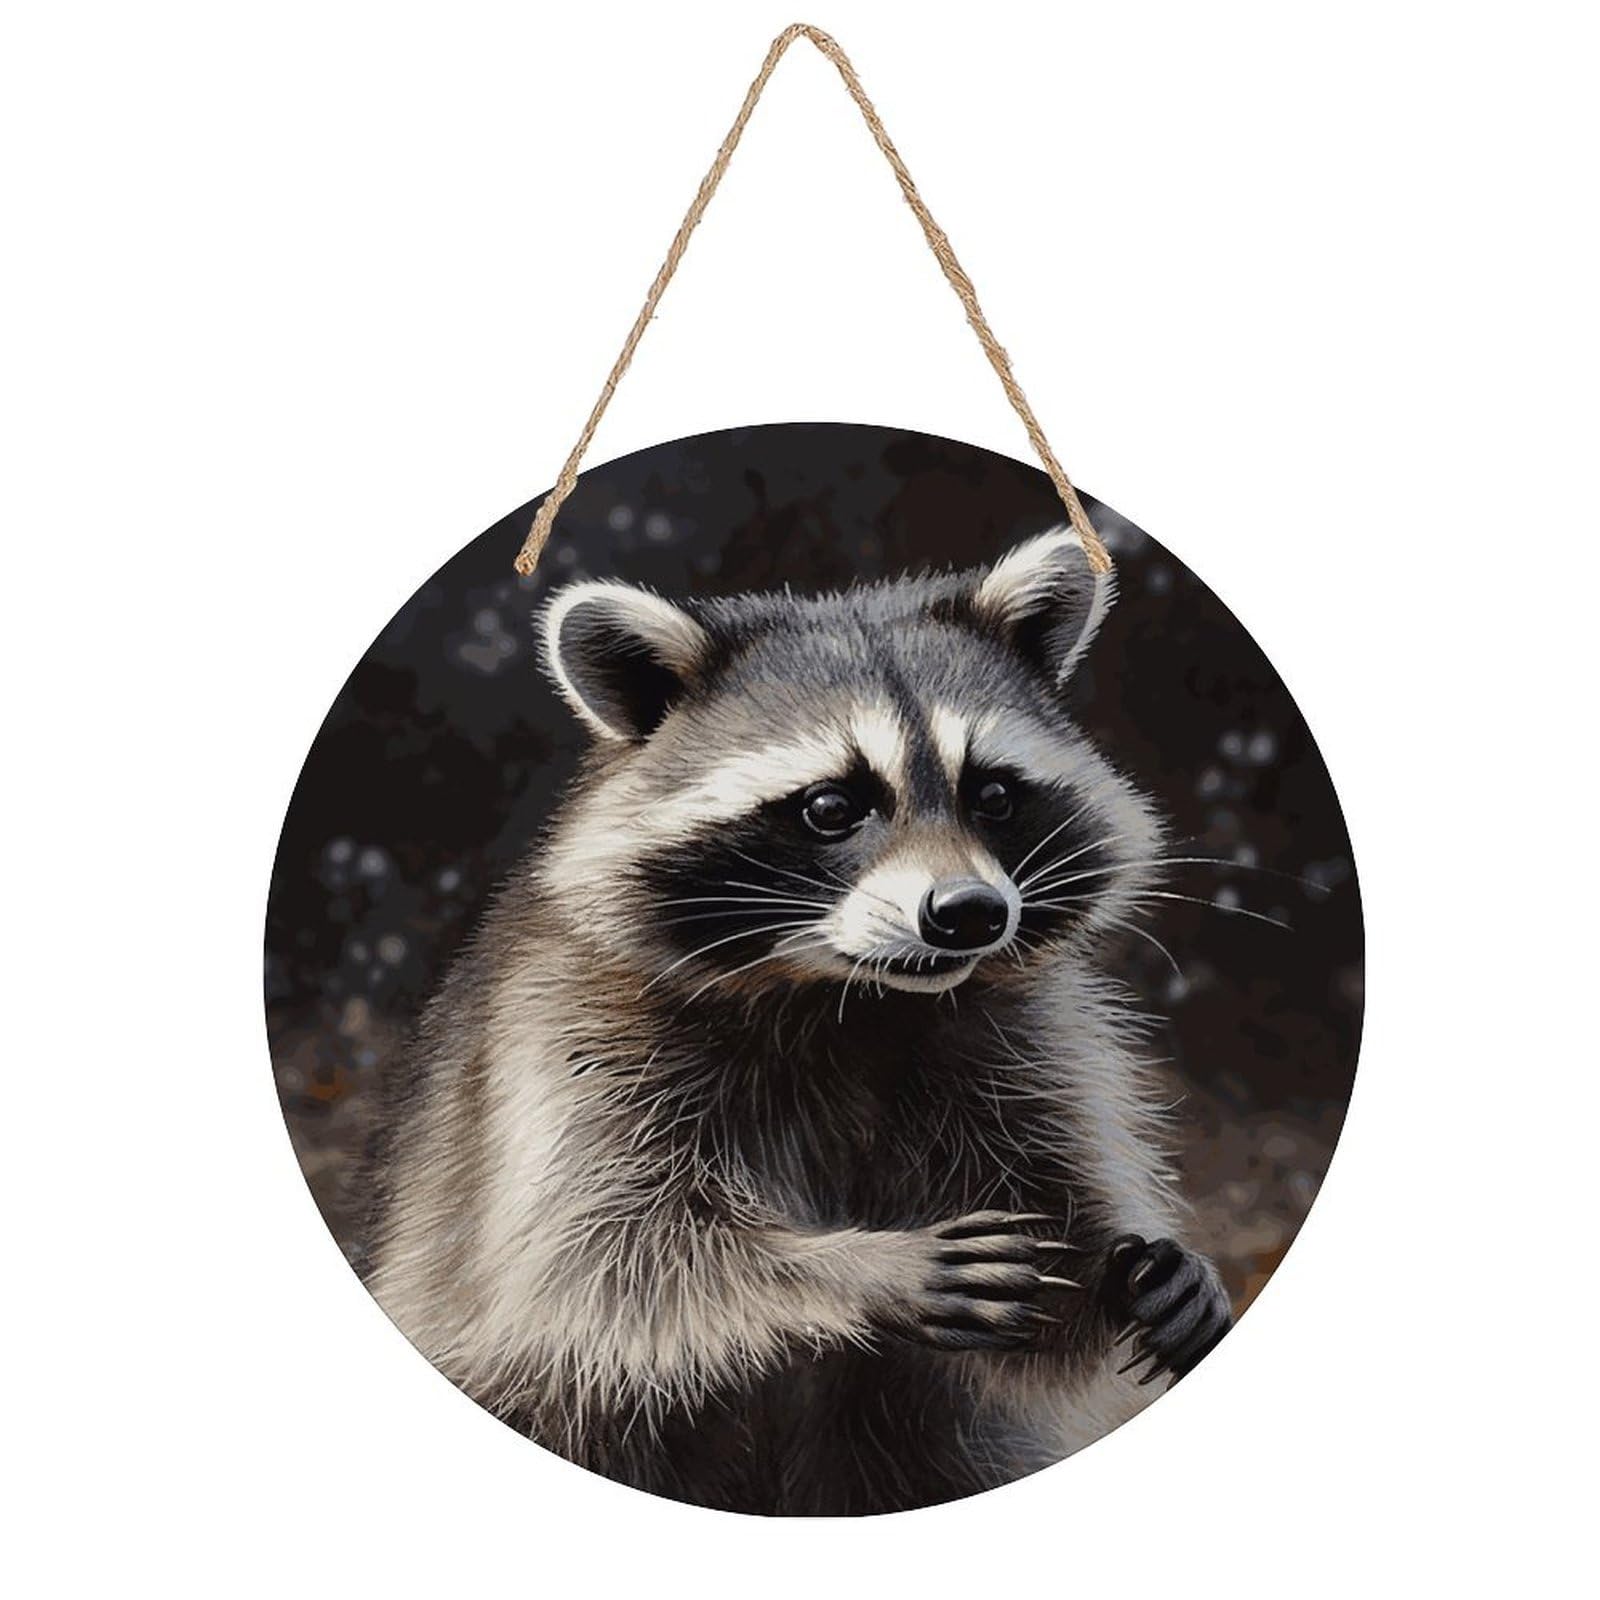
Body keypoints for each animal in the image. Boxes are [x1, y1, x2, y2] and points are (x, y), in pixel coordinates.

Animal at [364, 525, 1231, 1515]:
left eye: (994, 796)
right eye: (830, 807)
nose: (970, 913)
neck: (847, 999)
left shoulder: (1019, 1040)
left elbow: (1054, 1267)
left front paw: (1139, 1274)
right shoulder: (565, 1037)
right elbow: (597, 1262)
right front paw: (859, 1267)